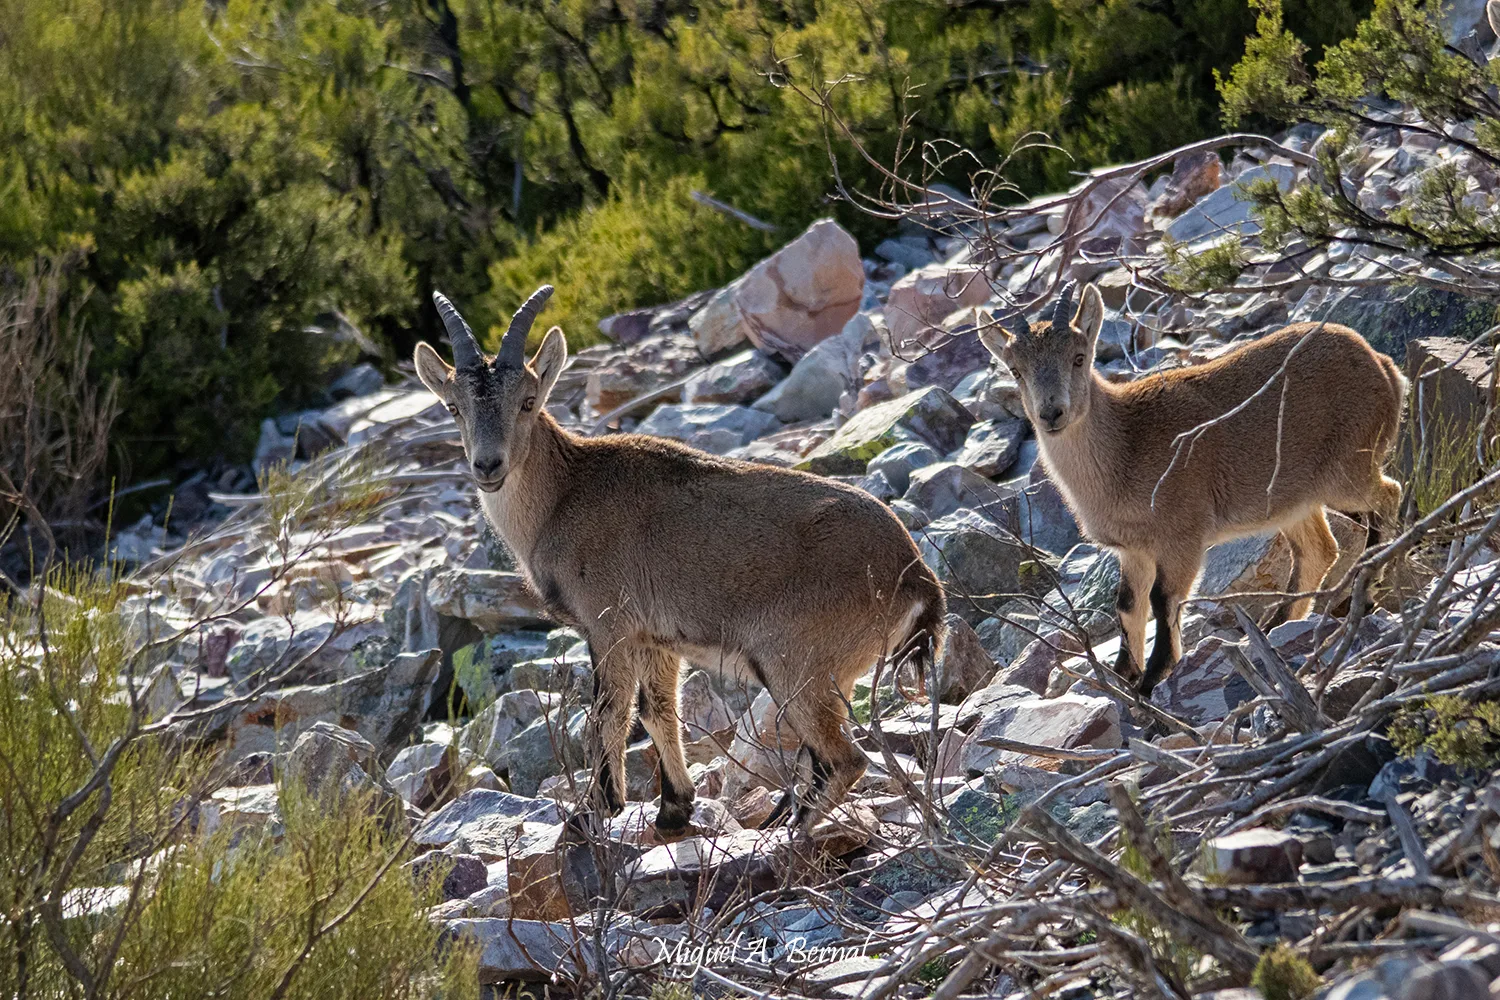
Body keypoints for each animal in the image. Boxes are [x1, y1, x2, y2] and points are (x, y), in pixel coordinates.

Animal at [413, 286, 946, 831]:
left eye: (527, 401)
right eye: (454, 407)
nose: (488, 465)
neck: (563, 497)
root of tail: (918, 577)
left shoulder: (608, 623)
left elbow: (609, 712)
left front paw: (596, 810)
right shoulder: (655, 638)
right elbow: (657, 710)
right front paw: (674, 806)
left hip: (795, 666)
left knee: (844, 759)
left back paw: (791, 831)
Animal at [979, 282, 1406, 695]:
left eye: (1079, 357)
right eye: (1015, 370)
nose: (1051, 413)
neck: (1126, 447)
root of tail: (1385, 368)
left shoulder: (1182, 536)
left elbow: (1163, 600)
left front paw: (1152, 679)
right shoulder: (1133, 550)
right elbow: (1128, 605)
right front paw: (1123, 675)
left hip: (1346, 469)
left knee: (1390, 495)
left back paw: (1363, 592)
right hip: (1293, 500)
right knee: (1320, 549)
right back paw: (1277, 627)